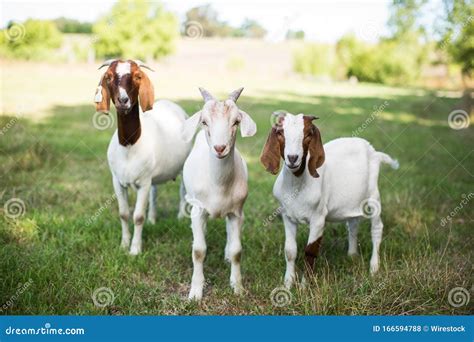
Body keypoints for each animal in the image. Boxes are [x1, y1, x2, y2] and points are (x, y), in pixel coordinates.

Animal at [93, 60, 192, 255]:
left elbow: (138, 216)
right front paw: (123, 245)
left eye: (138, 76)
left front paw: (135, 250)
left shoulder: (143, 183)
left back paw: (180, 216)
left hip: (184, 164)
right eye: (108, 76)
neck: (129, 146)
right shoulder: (117, 180)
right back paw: (153, 219)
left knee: (182, 189)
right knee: (154, 192)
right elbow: (124, 214)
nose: (123, 100)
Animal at [181, 88, 256, 300]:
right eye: (204, 121)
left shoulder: (237, 212)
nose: (220, 148)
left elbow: (237, 251)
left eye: (236, 121)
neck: (218, 185)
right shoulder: (198, 210)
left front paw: (237, 287)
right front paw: (195, 293)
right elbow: (199, 251)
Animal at [262, 113, 398, 288]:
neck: (297, 185)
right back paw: (352, 255)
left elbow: (310, 251)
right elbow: (290, 251)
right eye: (280, 133)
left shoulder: (318, 219)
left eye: (308, 134)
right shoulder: (287, 216)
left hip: (373, 196)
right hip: (353, 201)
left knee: (377, 227)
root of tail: (374, 152)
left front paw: (305, 286)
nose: (292, 158)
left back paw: (374, 267)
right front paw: (287, 284)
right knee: (353, 224)